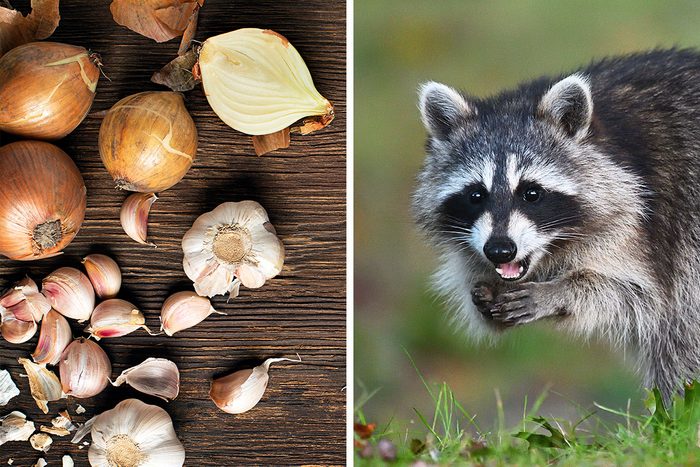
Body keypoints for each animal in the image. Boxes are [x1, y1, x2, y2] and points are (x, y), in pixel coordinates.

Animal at [412, 49, 700, 400]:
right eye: (476, 195)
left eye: (531, 193)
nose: (500, 250)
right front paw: (484, 297)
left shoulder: (653, 223)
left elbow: (640, 297)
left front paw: (560, 292)